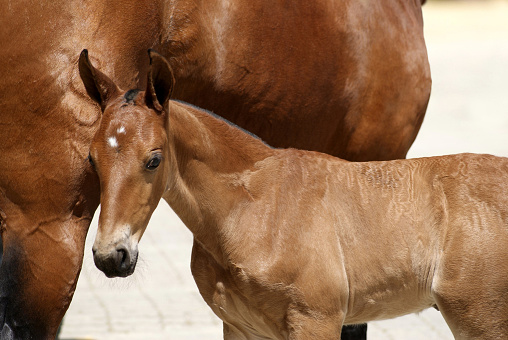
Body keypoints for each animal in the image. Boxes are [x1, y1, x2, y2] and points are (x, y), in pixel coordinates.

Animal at [79, 50, 508, 340]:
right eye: (92, 159)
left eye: (153, 160)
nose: (110, 256)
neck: (255, 208)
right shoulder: (240, 326)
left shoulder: (315, 320)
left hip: (479, 318)